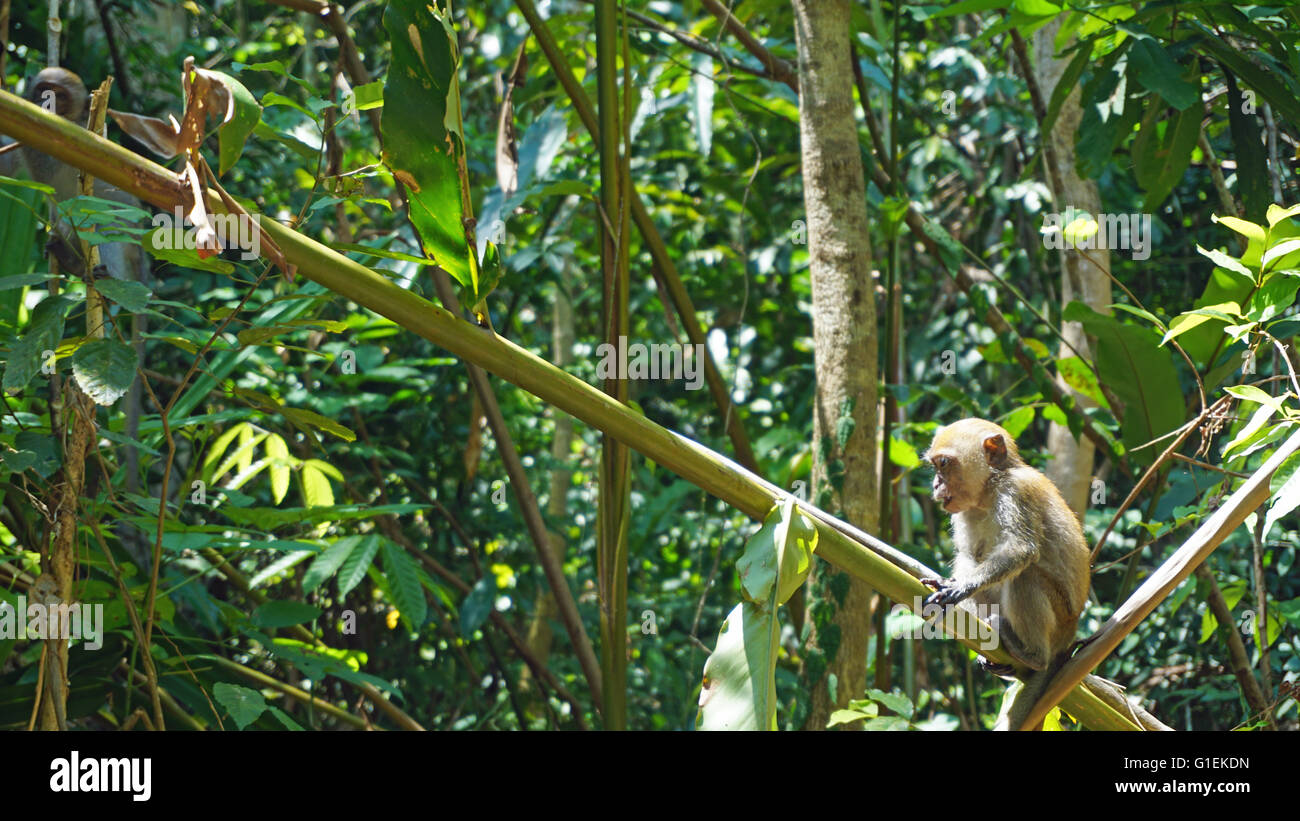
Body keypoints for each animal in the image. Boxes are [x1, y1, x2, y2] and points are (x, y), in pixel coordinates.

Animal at [920, 420, 1092, 727]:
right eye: (935, 466)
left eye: (944, 464)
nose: (936, 484)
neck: (989, 490)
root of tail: (1070, 635)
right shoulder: (965, 511)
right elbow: (969, 556)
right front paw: (950, 581)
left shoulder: (1017, 492)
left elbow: (1020, 549)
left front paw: (958, 588)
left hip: (1059, 622)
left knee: (1025, 576)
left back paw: (1033, 656)